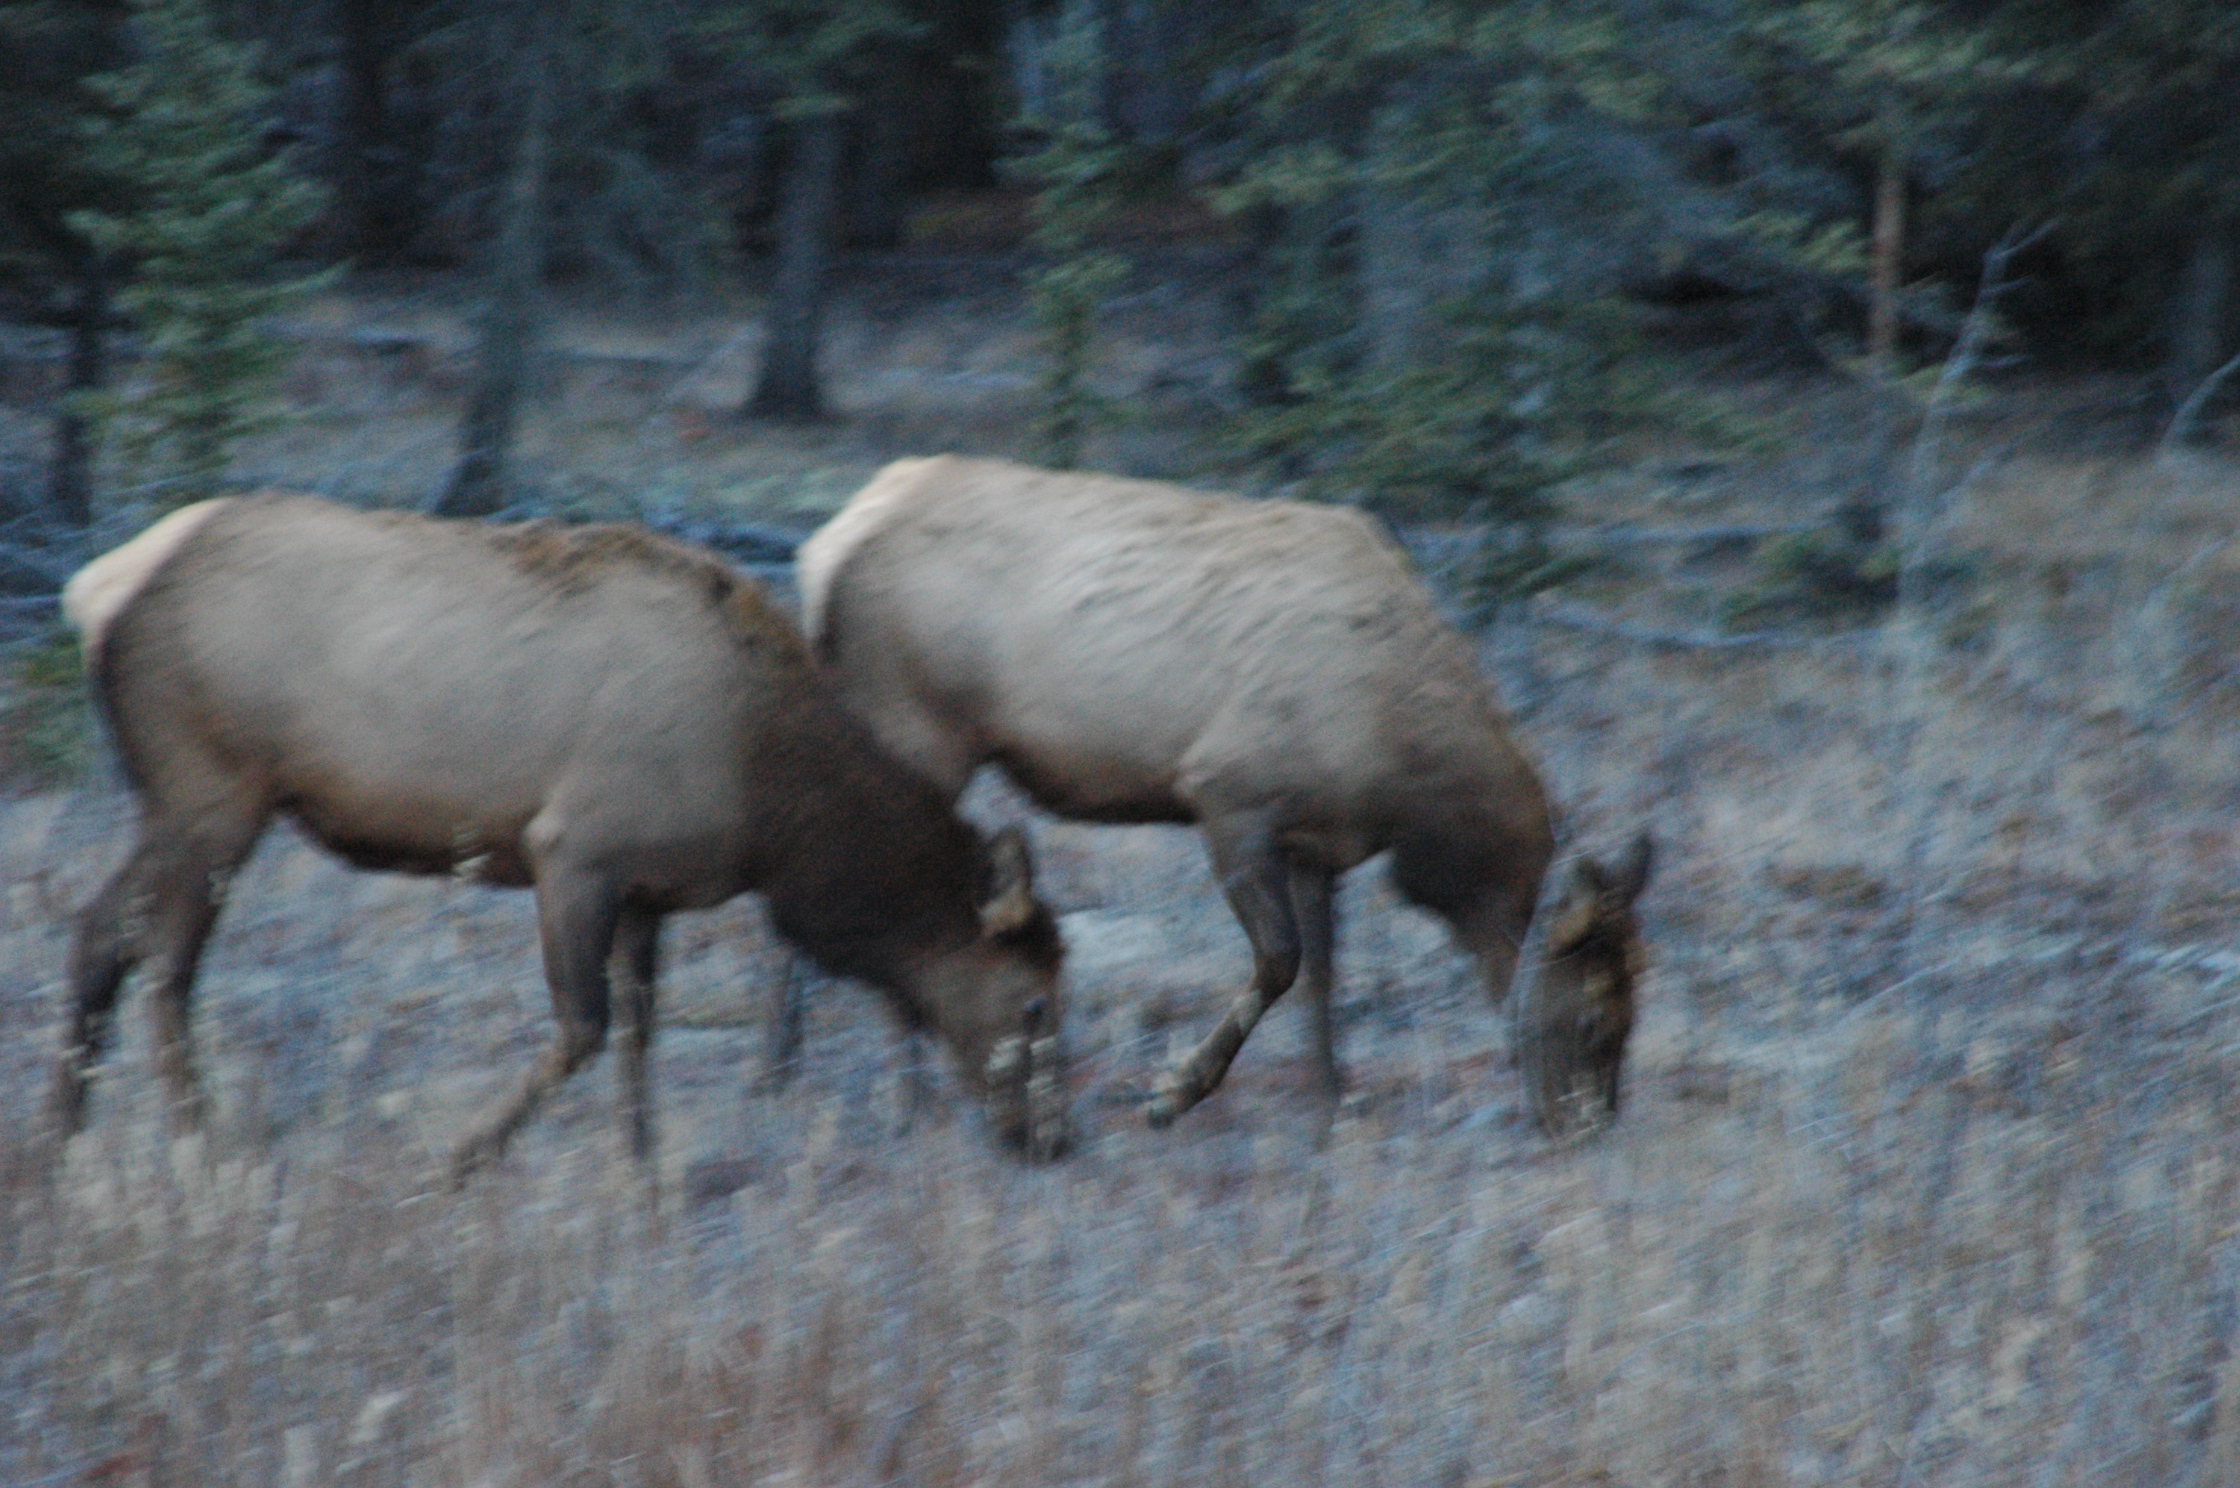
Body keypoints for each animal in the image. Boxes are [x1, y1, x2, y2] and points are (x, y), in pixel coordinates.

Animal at [51, 492, 1069, 1182]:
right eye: (1033, 1004)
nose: (1060, 1138)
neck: (773, 808)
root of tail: (96, 590)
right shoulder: (576, 848)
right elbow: (585, 1025)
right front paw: (459, 1160)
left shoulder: (652, 888)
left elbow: (641, 1035)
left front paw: (643, 1177)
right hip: (210, 786)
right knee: (161, 957)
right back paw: (200, 1144)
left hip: (192, 798)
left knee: (106, 935)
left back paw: (69, 1136)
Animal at [797, 456, 1651, 1136]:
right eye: (1592, 1018)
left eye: (1635, 1012)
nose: (1588, 1126)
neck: (1409, 782)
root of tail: (823, 551)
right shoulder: (1229, 791)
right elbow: (1280, 961)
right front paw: (1174, 1092)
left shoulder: (1321, 843)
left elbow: (1325, 974)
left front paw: (1331, 1099)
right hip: (914, 722)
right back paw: (899, 1100)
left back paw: (789, 1071)